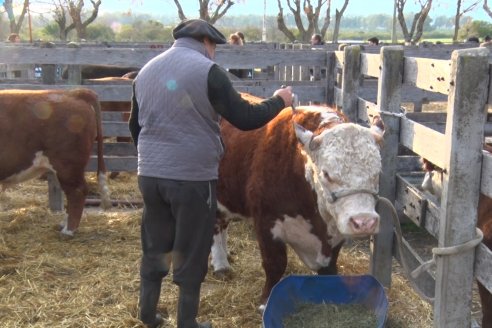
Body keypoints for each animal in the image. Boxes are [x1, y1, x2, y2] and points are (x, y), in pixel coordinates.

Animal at [211, 93, 384, 306]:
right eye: (326, 174)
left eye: (377, 173)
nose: (364, 222)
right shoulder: (265, 222)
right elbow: (275, 264)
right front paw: (265, 301)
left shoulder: (335, 233)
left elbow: (329, 268)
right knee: (216, 225)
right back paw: (220, 264)